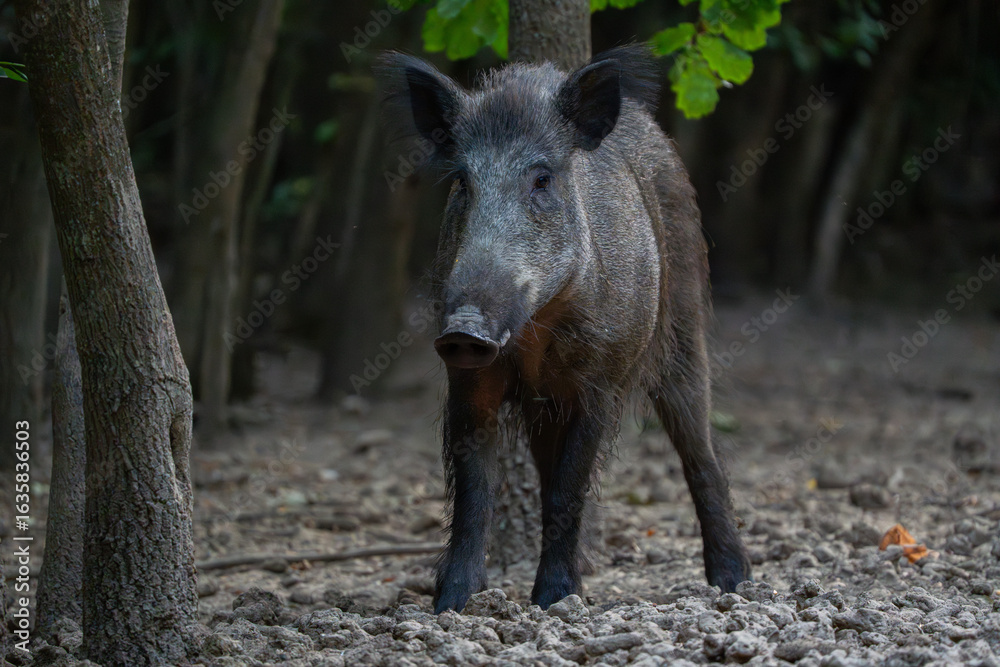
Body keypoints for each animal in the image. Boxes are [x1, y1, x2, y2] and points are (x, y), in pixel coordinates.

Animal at [378, 45, 752, 613]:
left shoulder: (601, 383)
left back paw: (733, 582)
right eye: (463, 181)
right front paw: (452, 605)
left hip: (684, 322)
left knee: (700, 450)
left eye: (542, 179)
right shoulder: (469, 383)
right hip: (541, 405)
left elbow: (569, 488)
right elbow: (474, 493)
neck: (535, 333)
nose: (465, 329)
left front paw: (553, 601)